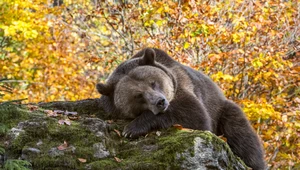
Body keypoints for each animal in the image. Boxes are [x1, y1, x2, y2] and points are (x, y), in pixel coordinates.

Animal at [96, 47, 264, 170]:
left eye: (153, 83)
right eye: (138, 95)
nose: (160, 102)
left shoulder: (181, 84)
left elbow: (194, 115)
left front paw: (132, 128)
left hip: (221, 110)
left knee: (241, 135)